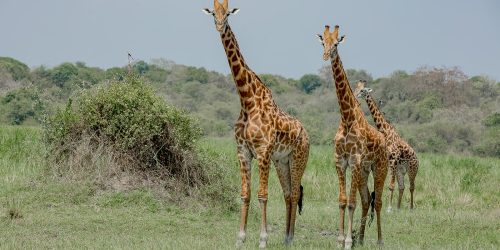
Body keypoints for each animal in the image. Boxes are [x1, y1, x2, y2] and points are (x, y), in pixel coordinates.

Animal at [203, 0, 308, 248]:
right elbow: (245, 194)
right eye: (213, 13)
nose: (219, 26)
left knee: (295, 194)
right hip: (282, 161)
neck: (247, 100)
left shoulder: (262, 152)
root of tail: (307, 134)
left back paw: (290, 237)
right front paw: (240, 238)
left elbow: (262, 195)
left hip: (298, 158)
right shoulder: (243, 151)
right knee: (288, 194)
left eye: (228, 14)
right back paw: (286, 237)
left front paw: (262, 239)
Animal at [316, 25, 390, 248]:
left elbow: (351, 203)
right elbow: (342, 201)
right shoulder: (340, 161)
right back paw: (362, 238)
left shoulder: (354, 161)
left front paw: (348, 241)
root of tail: (384, 140)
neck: (347, 118)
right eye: (323, 43)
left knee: (378, 201)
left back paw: (379, 240)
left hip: (379, 168)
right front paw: (341, 239)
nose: (326, 55)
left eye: (336, 44)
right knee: (366, 200)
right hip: (364, 172)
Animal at [354, 81, 420, 210]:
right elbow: (389, 185)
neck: (385, 131)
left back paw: (410, 208)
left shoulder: (393, 160)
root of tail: (417, 159)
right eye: (357, 89)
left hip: (412, 169)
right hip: (401, 170)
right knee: (402, 186)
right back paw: (398, 207)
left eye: (363, 90)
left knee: (412, 187)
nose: (356, 95)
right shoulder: (389, 162)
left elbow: (391, 185)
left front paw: (389, 208)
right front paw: (390, 207)